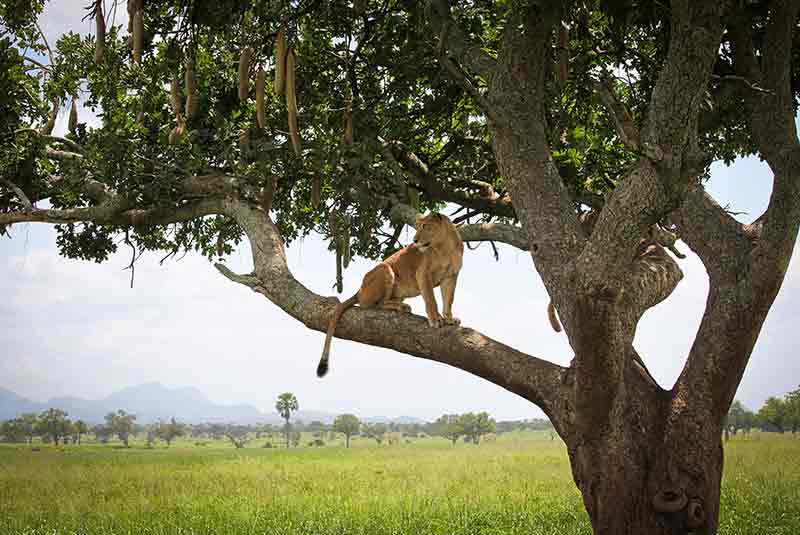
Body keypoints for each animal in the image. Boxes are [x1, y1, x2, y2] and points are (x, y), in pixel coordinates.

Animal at [316, 212, 464, 377]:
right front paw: (436, 320)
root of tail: (360, 289)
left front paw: (450, 319)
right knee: (371, 304)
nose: (415, 241)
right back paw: (401, 307)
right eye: (418, 227)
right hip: (385, 269)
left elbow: (449, 300)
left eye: (425, 226)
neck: (444, 247)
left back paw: (400, 305)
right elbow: (431, 300)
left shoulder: (451, 276)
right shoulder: (423, 274)